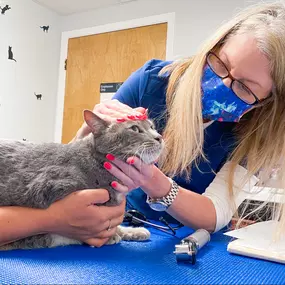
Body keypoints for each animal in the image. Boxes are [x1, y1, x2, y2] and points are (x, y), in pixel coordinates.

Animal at [0, 110, 163, 250]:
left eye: (152, 127)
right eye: (135, 128)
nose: (159, 137)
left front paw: (133, 231)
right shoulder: (43, 190)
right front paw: (111, 237)